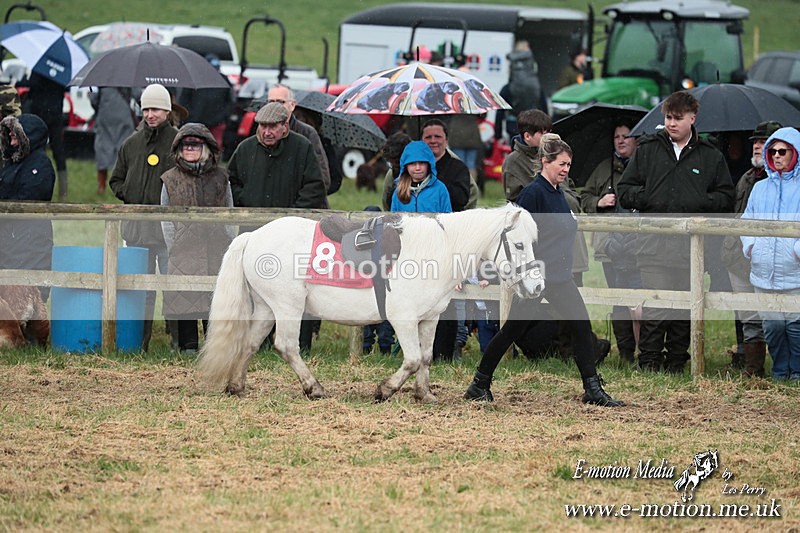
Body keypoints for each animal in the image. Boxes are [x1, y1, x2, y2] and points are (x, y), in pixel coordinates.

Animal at [198, 204, 544, 403]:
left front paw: (424, 394)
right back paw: (314, 388)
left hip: (268, 308)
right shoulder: (402, 318)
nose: (537, 285)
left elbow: (427, 357)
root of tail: (252, 237)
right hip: (288, 307)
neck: (438, 250)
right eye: (517, 245)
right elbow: (412, 359)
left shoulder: (429, 318)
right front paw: (385, 390)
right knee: (286, 346)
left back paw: (237, 386)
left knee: (250, 344)